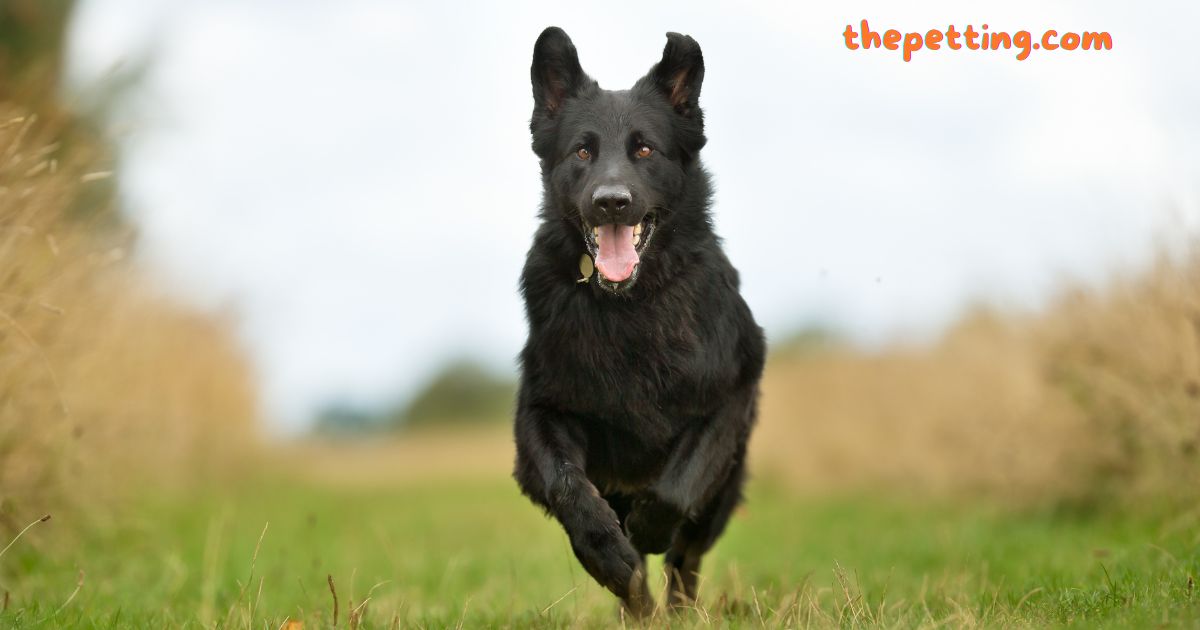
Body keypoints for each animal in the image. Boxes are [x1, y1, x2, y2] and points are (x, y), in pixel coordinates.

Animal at [511, 25, 763, 614]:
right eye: (583, 150)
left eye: (645, 148)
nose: (611, 202)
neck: (629, 306)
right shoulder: (541, 412)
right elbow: (567, 485)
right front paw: (608, 554)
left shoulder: (728, 396)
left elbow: (677, 485)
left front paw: (648, 528)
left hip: (725, 489)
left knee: (686, 560)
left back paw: (678, 610)